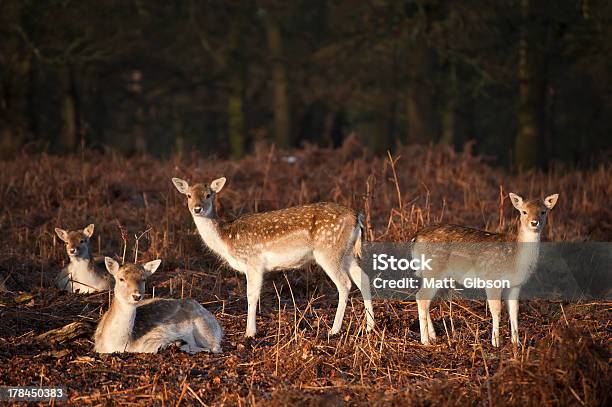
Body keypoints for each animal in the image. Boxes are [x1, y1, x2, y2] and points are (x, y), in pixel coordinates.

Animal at [94, 260, 222, 356]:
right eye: (121, 279)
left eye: (144, 279)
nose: (136, 296)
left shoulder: (155, 338)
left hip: (205, 327)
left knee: (215, 348)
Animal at [170, 177, 376, 340]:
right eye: (188, 195)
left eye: (208, 195)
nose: (197, 209)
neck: (226, 240)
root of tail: (357, 217)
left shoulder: (253, 261)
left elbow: (251, 295)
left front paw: (250, 333)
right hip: (347, 252)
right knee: (363, 278)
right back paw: (370, 326)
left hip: (328, 250)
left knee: (344, 283)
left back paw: (334, 330)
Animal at [412, 193, 560, 346]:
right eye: (524, 211)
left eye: (543, 211)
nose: (534, 223)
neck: (516, 260)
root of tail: (416, 239)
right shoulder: (493, 278)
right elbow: (497, 310)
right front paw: (495, 342)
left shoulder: (515, 284)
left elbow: (514, 311)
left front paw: (516, 342)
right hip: (434, 270)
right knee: (421, 297)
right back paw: (425, 341)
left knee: (425, 299)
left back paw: (433, 336)